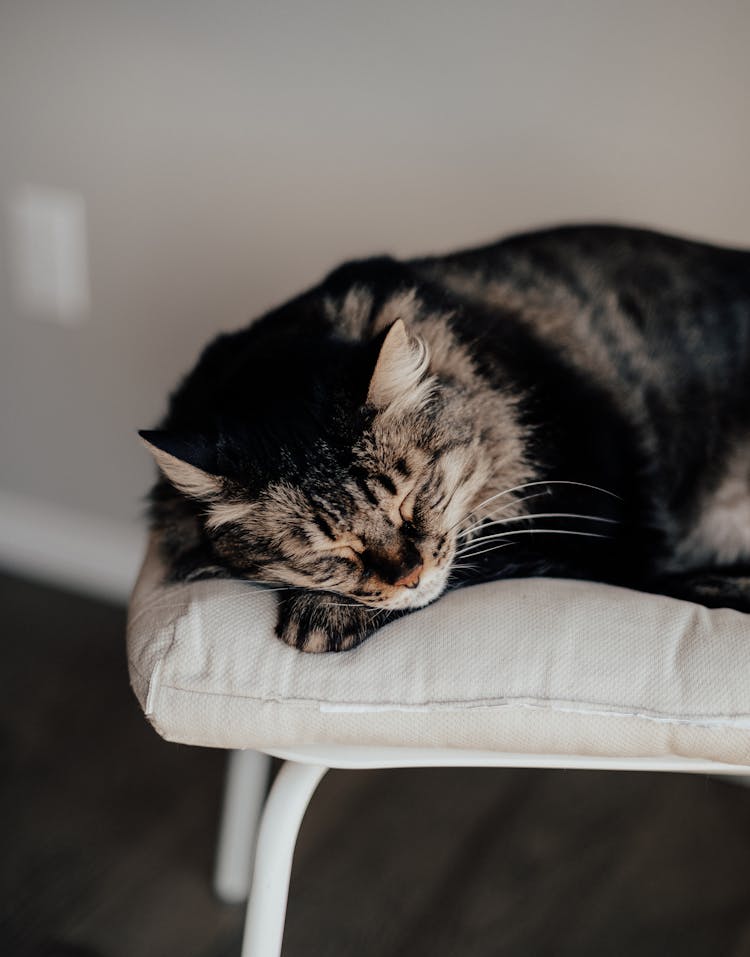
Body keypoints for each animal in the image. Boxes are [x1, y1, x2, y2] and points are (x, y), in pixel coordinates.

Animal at [140, 225, 750, 652]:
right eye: (328, 548)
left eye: (412, 499)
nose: (411, 577)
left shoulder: (595, 525)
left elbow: (485, 549)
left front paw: (321, 616)